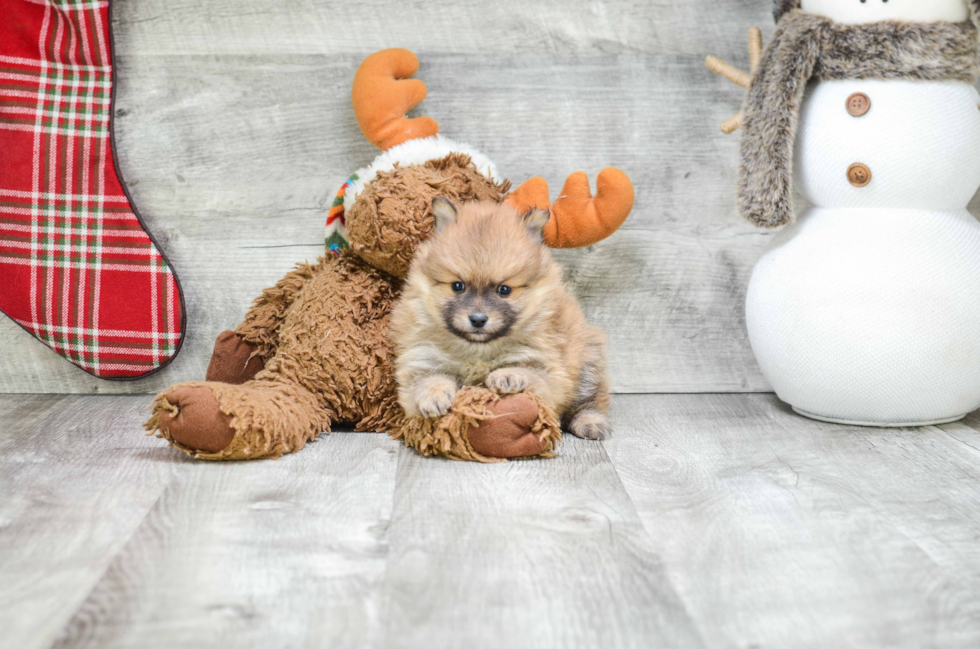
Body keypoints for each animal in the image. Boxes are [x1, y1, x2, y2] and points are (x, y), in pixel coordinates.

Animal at [392, 197, 612, 440]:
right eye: (458, 286)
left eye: (504, 290)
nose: (478, 319)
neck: (478, 350)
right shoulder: (423, 357)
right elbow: (428, 379)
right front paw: (433, 396)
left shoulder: (547, 366)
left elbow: (527, 370)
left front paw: (508, 375)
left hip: (587, 364)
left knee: (589, 402)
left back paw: (591, 422)